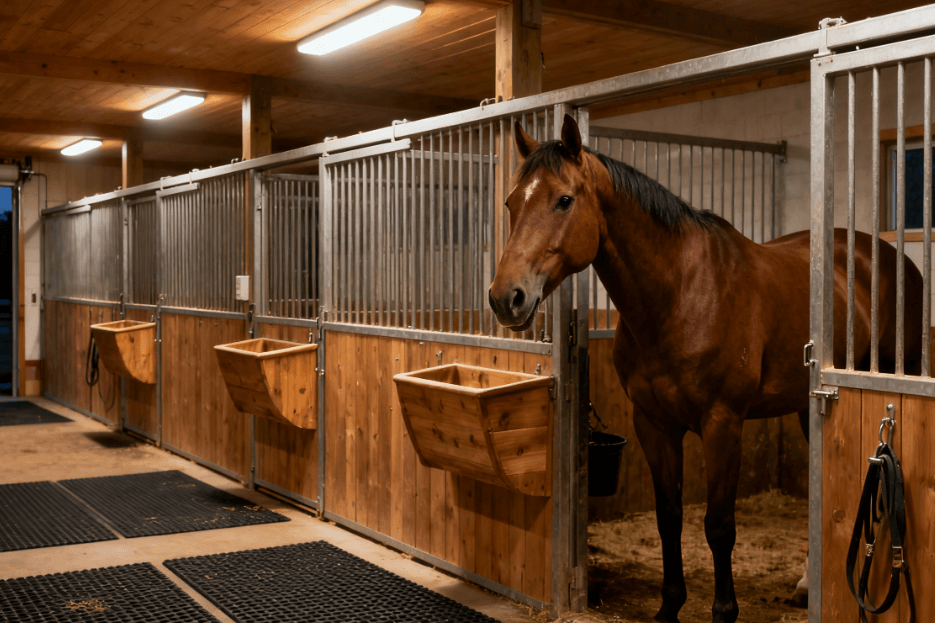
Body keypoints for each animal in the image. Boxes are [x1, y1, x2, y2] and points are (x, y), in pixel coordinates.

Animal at [487, 114, 923, 623]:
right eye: (511, 202)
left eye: (563, 200)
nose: (506, 298)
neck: (681, 293)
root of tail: (889, 258)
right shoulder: (653, 424)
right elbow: (669, 516)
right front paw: (669, 606)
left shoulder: (722, 424)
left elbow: (718, 525)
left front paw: (723, 611)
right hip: (803, 404)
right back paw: (804, 585)